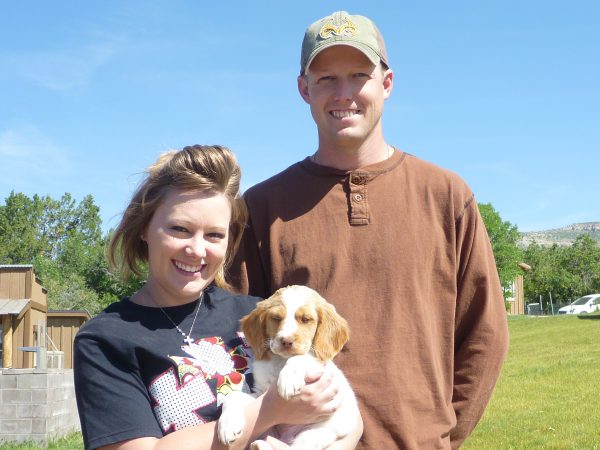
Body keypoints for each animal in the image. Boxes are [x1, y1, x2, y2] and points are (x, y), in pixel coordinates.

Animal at [218, 286, 358, 448]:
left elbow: (300, 358)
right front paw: (227, 426)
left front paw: (288, 381)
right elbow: (233, 396)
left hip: (317, 432)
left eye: (306, 319)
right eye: (276, 318)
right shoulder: (260, 394)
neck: (281, 361)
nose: (286, 341)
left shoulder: (319, 365)